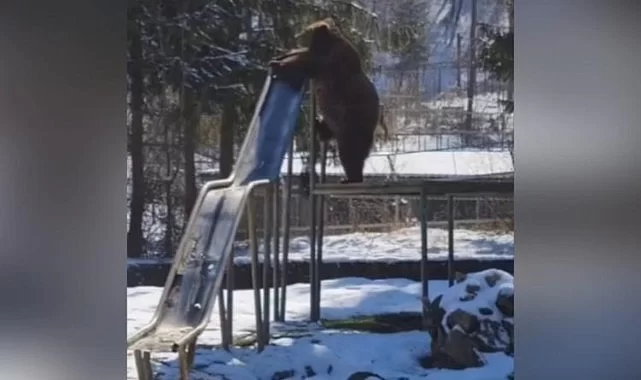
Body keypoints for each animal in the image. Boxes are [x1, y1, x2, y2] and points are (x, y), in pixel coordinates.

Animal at [268, 17, 382, 184]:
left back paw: (350, 178)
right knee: (327, 132)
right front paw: (279, 56)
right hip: (334, 122)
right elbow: (302, 54)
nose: (297, 35)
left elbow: (310, 63)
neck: (326, 45)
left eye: (306, 30)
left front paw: (279, 63)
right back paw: (317, 123)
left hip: (352, 123)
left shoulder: (333, 62)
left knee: (349, 153)